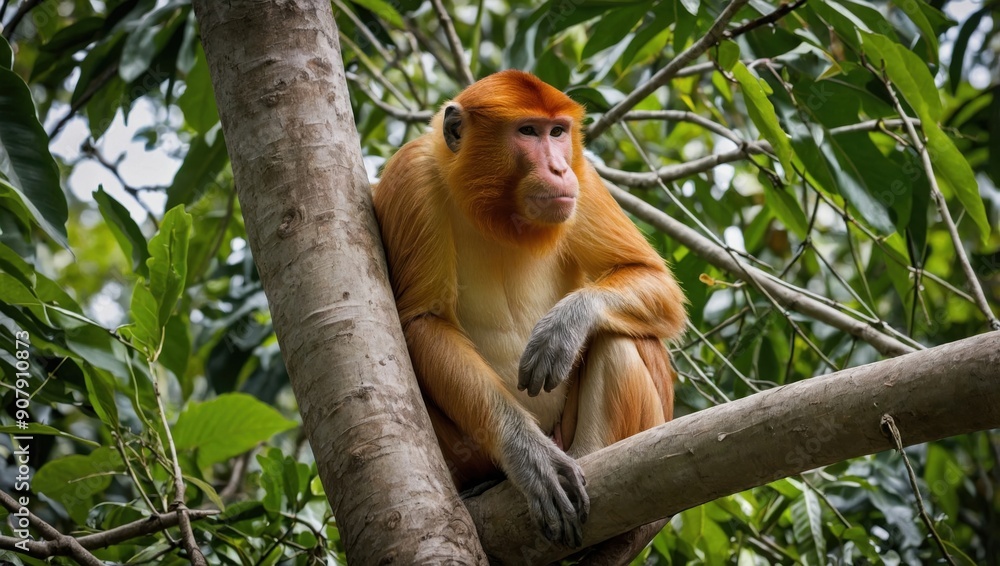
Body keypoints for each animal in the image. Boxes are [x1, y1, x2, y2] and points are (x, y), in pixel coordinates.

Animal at [372, 70, 686, 555]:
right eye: (527, 131)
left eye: (557, 132)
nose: (558, 169)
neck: (497, 210)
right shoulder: (412, 176)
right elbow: (424, 320)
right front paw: (530, 458)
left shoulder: (584, 178)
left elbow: (652, 278)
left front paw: (564, 327)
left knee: (623, 335)